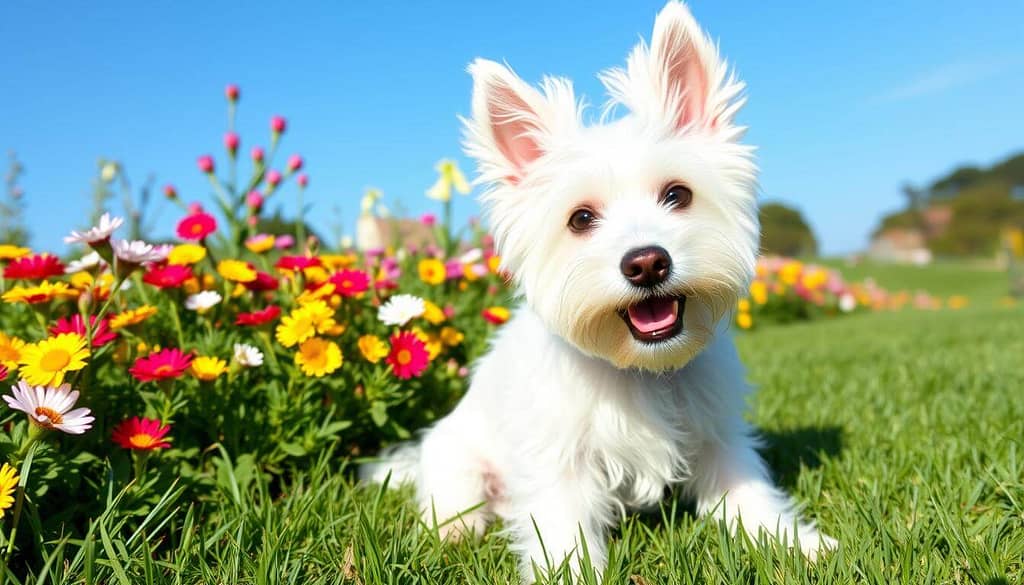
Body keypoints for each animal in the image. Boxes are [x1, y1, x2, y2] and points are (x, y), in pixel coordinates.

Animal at [364, 0, 835, 577]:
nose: (647, 263)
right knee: (454, 499)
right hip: (457, 457)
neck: (642, 371)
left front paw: (798, 545)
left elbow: (751, 498)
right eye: (581, 218)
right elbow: (563, 532)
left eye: (678, 194)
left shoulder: (719, 438)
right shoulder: (557, 462)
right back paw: (455, 529)